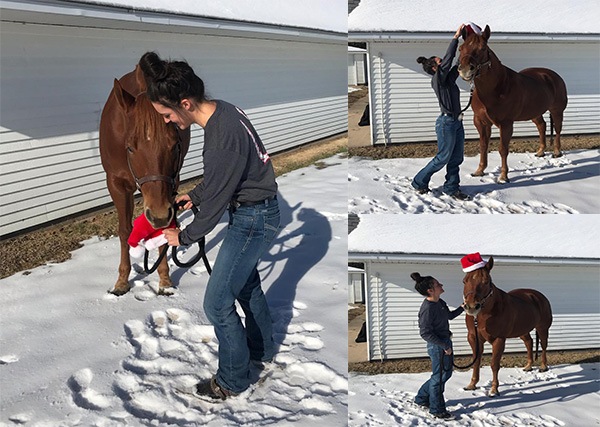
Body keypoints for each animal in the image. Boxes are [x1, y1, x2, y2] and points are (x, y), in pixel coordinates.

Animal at [99, 65, 190, 296]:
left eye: (175, 144)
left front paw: (164, 279)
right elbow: (124, 231)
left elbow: (163, 231)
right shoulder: (116, 185)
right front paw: (122, 281)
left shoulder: (171, 184)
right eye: (130, 147)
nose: (158, 215)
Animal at [460, 25, 568, 182]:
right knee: (542, 126)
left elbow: (503, 149)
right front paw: (479, 171)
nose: (465, 70)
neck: (496, 88)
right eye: (460, 48)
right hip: (535, 112)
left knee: (558, 129)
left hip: (557, 111)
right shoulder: (481, 122)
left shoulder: (506, 124)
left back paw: (556, 152)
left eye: (483, 48)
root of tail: (553, 75)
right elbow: (483, 146)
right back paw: (540, 152)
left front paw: (503, 177)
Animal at [464, 256, 552, 396]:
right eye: (464, 281)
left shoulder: (499, 340)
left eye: (486, 282)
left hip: (542, 329)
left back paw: (543, 367)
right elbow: (476, 361)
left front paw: (494, 390)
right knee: (529, 342)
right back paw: (528, 366)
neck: (485, 315)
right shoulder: (473, 338)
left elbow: (494, 365)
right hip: (523, 330)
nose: (471, 307)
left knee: (543, 345)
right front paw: (472, 385)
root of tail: (539, 296)